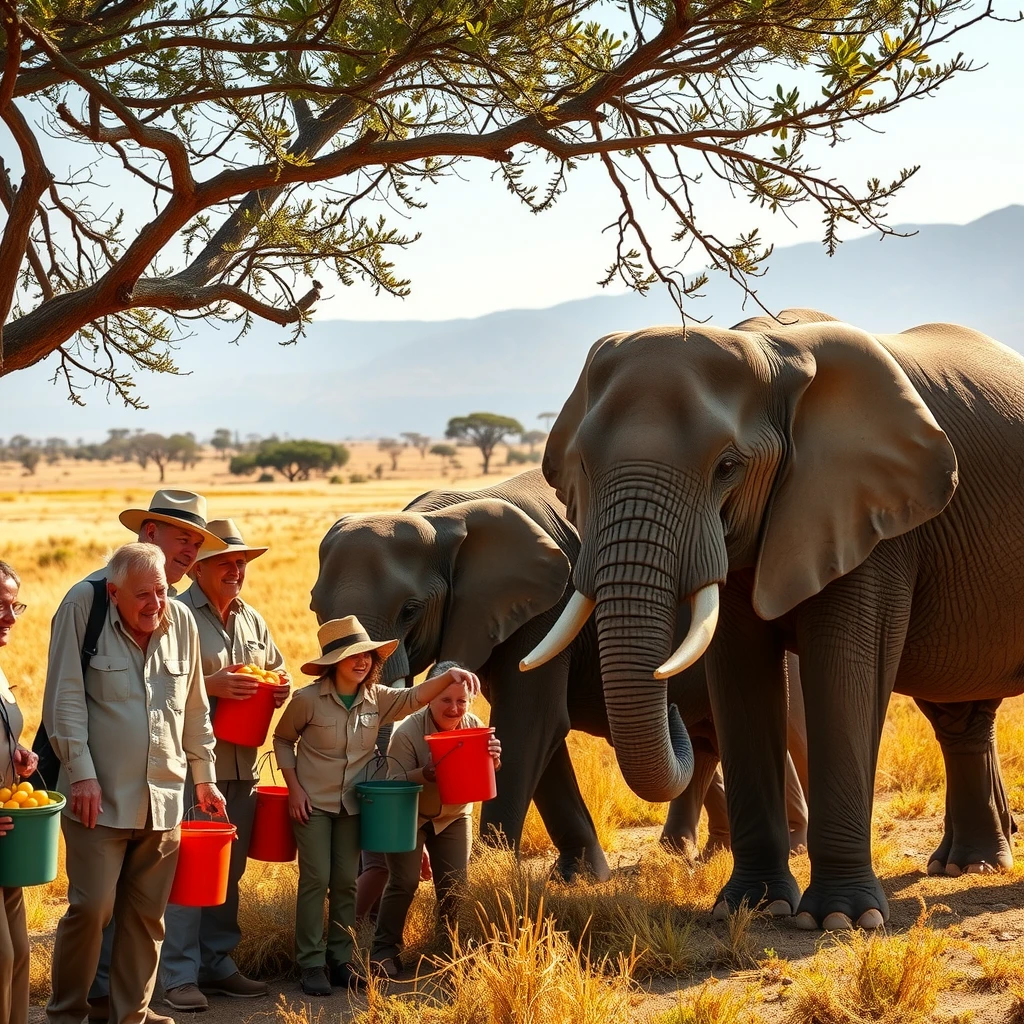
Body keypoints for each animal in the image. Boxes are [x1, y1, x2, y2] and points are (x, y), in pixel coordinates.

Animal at [308, 469, 808, 880]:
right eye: (316, 610)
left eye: (410, 610)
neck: (444, 517)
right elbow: (541, 736)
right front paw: (579, 876)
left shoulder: (547, 607)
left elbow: (530, 723)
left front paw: (486, 877)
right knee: (706, 740)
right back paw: (689, 855)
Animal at [528, 308, 1023, 929]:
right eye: (585, 467)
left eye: (727, 467)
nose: (673, 706)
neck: (771, 353)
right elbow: (741, 676)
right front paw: (749, 908)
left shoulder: (870, 518)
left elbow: (843, 671)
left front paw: (839, 920)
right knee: (958, 711)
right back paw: (967, 865)